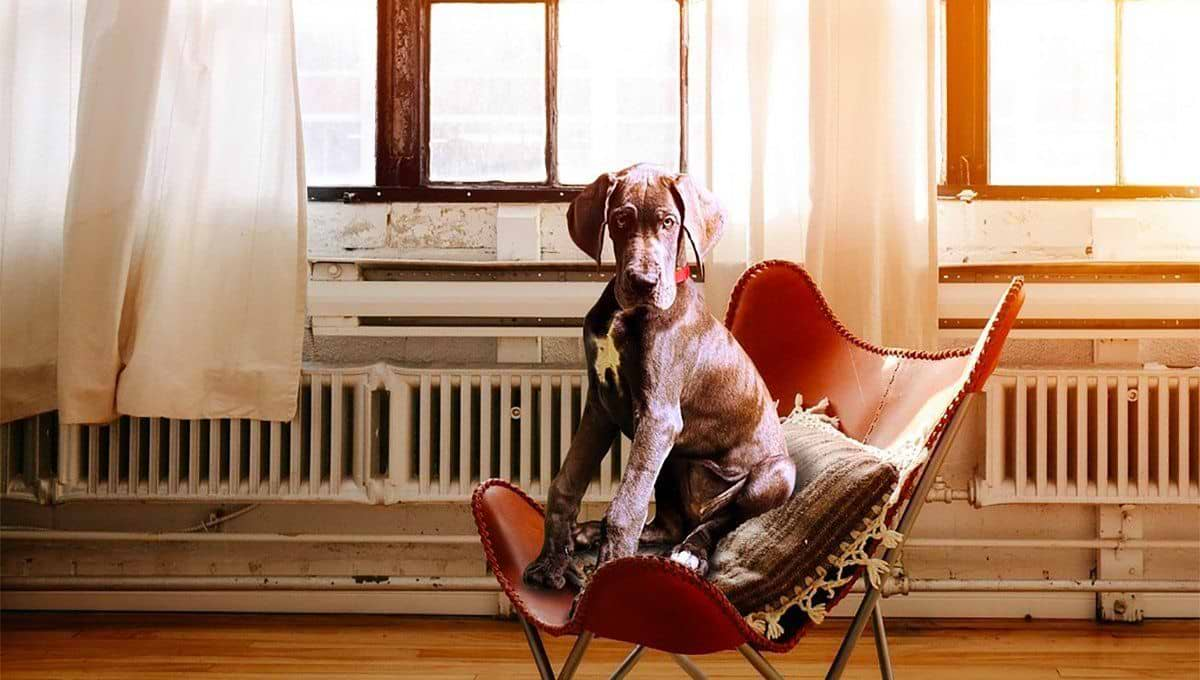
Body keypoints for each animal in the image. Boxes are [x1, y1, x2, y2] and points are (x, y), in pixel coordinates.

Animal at [520, 165, 792, 590]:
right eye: (620, 219)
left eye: (669, 222)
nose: (643, 283)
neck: (625, 314)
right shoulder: (600, 405)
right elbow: (565, 483)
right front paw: (551, 562)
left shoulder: (659, 416)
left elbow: (626, 505)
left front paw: (610, 575)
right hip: (671, 459)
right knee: (668, 523)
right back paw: (593, 531)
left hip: (775, 474)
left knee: (721, 520)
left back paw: (691, 551)